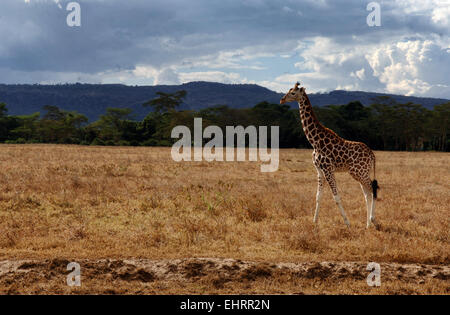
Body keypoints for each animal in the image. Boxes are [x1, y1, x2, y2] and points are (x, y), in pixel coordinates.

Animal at [282, 82, 380, 228]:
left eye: (293, 93)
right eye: (288, 90)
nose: (282, 100)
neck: (315, 141)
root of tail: (372, 154)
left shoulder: (328, 169)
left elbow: (336, 197)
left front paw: (347, 223)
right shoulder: (319, 170)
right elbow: (318, 196)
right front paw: (314, 222)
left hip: (358, 172)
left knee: (372, 189)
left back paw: (372, 220)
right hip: (362, 172)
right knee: (367, 193)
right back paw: (367, 224)